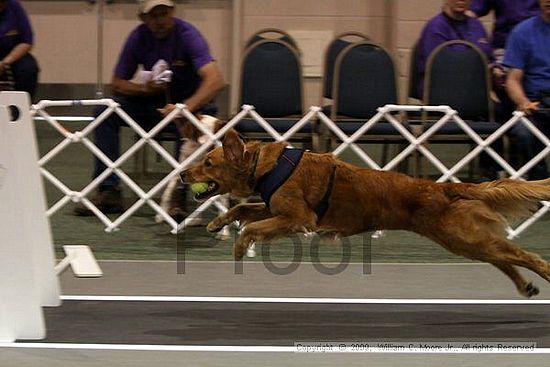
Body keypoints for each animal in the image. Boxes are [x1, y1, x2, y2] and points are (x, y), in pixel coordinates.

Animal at [182, 131, 550, 298]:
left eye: (208, 163)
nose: (184, 174)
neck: (266, 167)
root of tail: (445, 188)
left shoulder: (298, 218)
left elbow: (251, 228)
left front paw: (239, 247)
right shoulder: (275, 208)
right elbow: (242, 208)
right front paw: (216, 222)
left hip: (463, 237)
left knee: (523, 255)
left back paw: (543, 272)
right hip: (466, 241)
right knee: (503, 258)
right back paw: (526, 286)